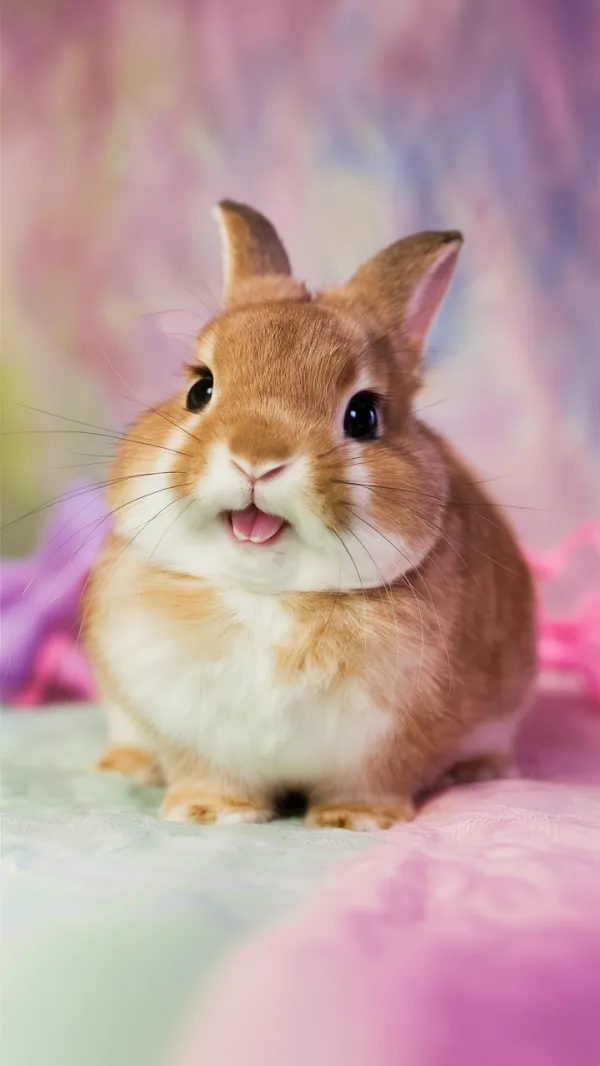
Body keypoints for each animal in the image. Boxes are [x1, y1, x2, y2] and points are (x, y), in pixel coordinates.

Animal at [84, 200, 537, 831]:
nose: (257, 459)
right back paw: (126, 765)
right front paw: (208, 813)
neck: (268, 598)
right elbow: (211, 774)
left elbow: (369, 783)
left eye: (363, 415)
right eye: (200, 389)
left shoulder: (382, 749)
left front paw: (354, 820)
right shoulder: (194, 734)